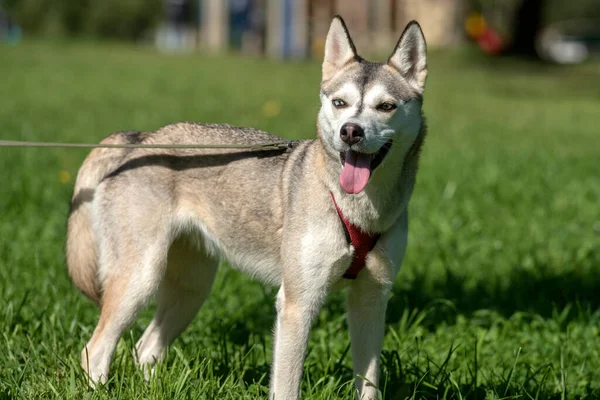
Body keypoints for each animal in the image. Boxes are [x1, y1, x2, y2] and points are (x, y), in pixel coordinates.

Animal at [65, 15, 426, 400]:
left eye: (386, 106)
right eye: (340, 103)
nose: (350, 132)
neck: (360, 209)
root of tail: (140, 139)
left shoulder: (371, 301)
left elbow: (369, 383)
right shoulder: (298, 304)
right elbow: (286, 387)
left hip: (191, 291)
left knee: (145, 348)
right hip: (139, 280)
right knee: (94, 350)